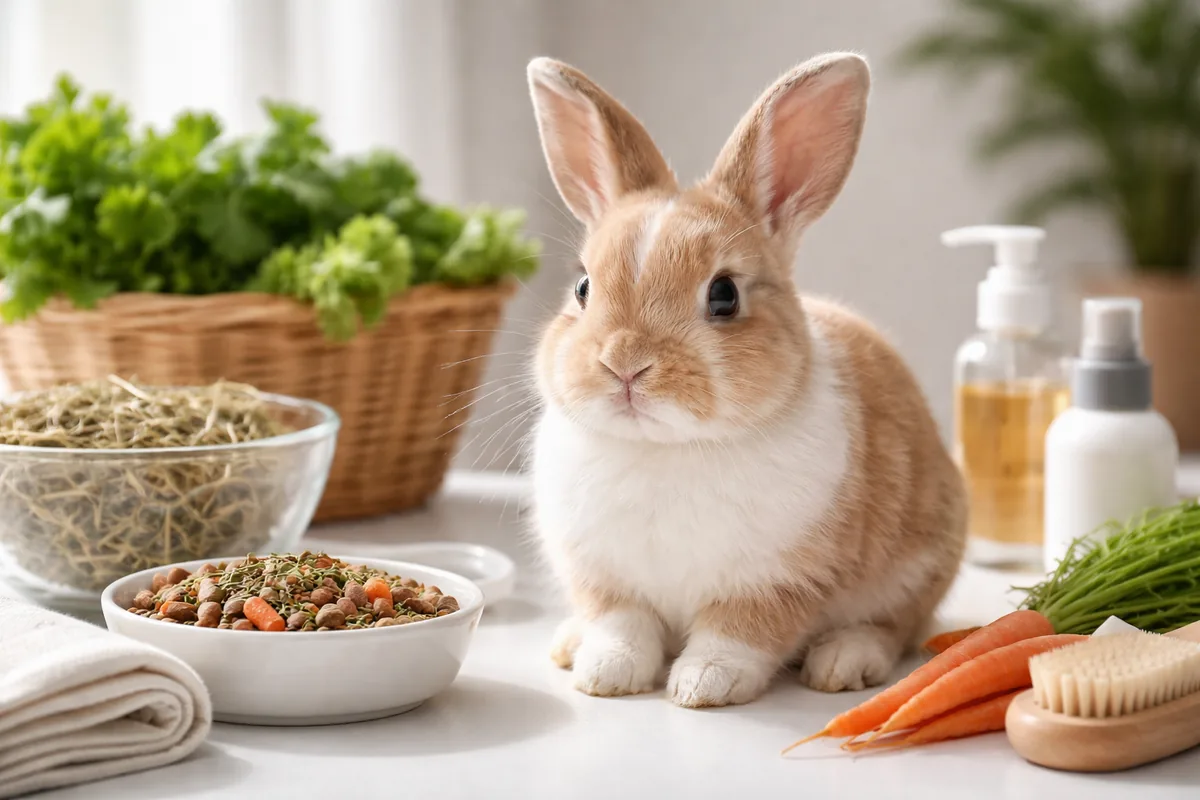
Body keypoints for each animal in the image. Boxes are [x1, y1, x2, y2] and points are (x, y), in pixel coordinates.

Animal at [524, 51, 968, 709]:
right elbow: (621, 626)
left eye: (725, 295)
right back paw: (568, 644)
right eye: (582, 287)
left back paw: (843, 662)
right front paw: (606, 676)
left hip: (917, 569)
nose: (624, 364)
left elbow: (738, 634)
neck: (666, 449)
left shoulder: (775, 581)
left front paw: (702, 685)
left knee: (898, 628)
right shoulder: (605, 578)